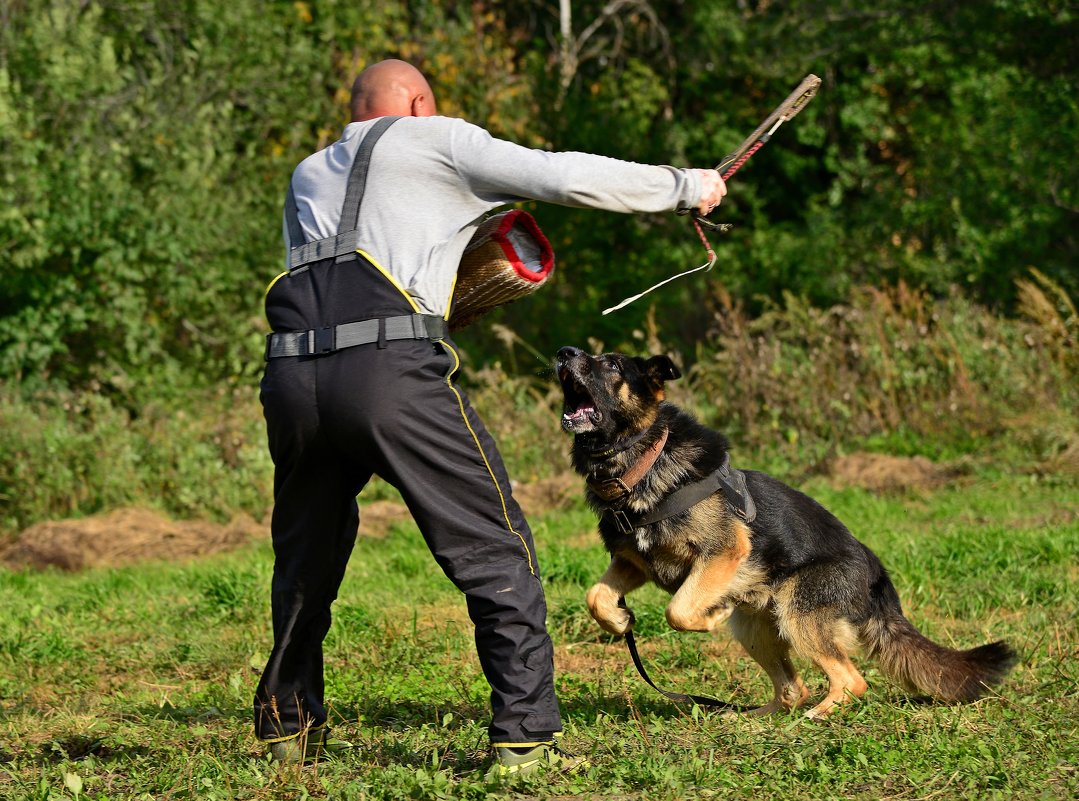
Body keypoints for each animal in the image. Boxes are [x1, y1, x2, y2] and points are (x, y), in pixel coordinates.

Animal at [556, 347, 1018, 721]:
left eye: (612, 364)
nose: (564, 353)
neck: (644, 463)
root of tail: (876, 575)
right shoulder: (632, 562)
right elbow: (595, 595)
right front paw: (618, 620)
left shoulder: (723, 551)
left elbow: (679, 610)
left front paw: (710, 615)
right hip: (758, 630)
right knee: (794, 688)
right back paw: (753, 718)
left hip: (797, 615)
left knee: (851, 680)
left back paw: (819, 714)